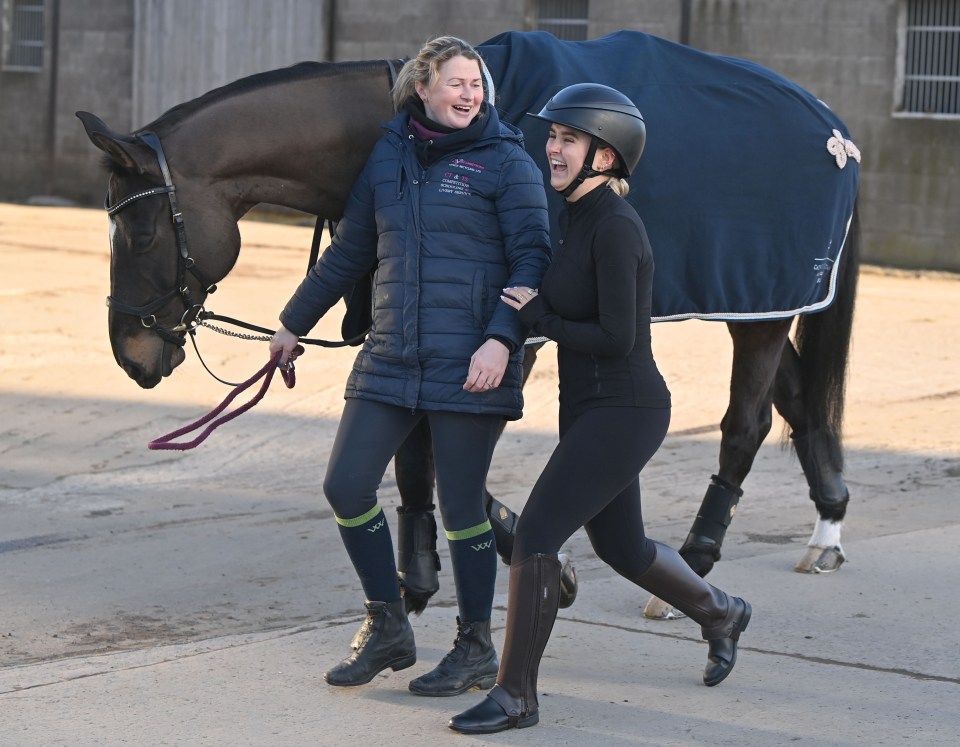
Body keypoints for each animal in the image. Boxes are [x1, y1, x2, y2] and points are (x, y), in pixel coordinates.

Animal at [79, 30, 864, 620]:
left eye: (139, 233)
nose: (130, 353)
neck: (423, 143)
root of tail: (836, 129)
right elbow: (416, 452)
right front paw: (430, 574)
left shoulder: (499, 335)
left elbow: (441, 451)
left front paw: (505, 565)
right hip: (760, 306)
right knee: (800, 401)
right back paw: (827, 528)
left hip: (760, 314)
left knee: (746, 424)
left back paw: (694, 570)